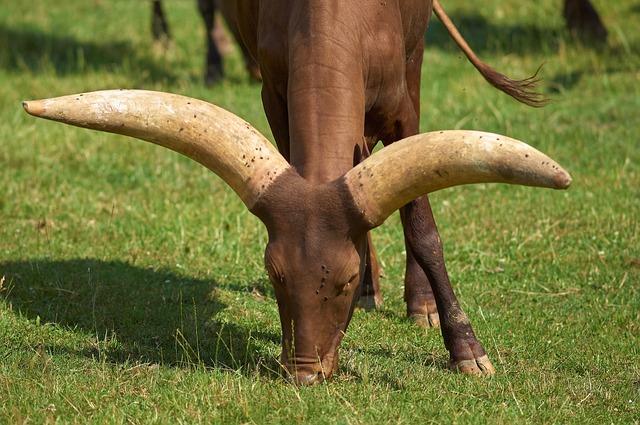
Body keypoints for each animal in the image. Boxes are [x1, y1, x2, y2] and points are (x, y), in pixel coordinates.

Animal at [23, 0, 568, 384]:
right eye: (275, 274)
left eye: (343, 281)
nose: (305, 372)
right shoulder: (275, 94)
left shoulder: (400, 109)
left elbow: (422, 226)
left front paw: (466, 350)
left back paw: (420, 305)